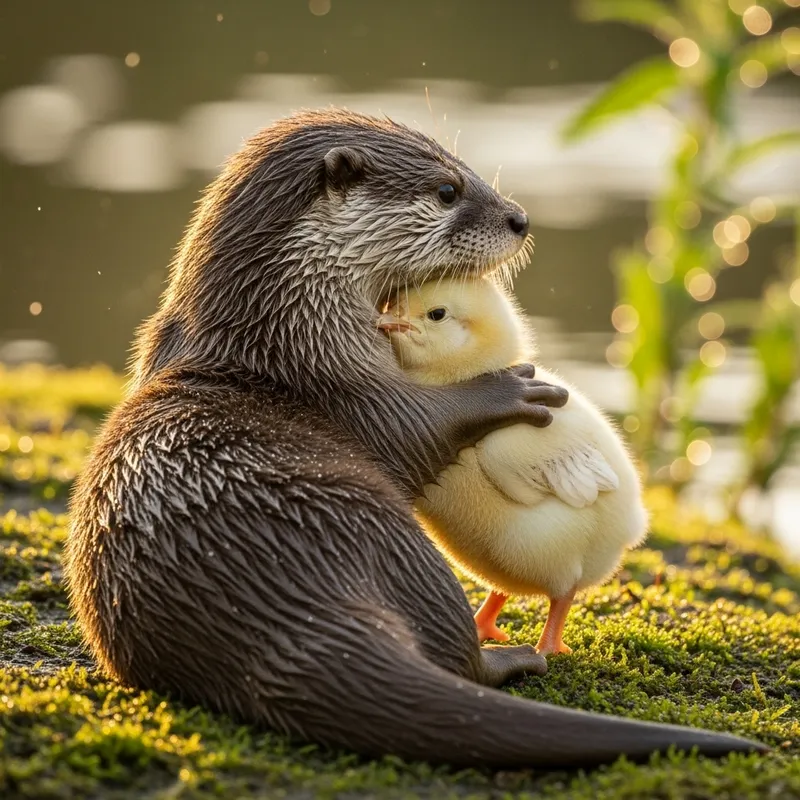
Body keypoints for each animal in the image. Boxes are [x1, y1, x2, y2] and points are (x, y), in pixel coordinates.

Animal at [64, 109, 765, 768]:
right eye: (448, 189)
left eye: (467, 168)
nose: (520, 218)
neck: (278, 330)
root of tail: (279, 613)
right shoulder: (344, 387)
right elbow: (416, 428)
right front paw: (511, 389)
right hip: (406, 551)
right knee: (459, 655)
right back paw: (513, 657)